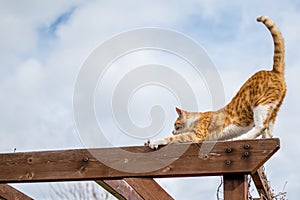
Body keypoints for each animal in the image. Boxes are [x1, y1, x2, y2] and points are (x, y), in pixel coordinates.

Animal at [146, 15, 288, 149]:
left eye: (176, 124)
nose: (172, 130)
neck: (196, 118)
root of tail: (274, 71)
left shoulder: (197, 135)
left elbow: (173, 138)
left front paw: (154, 142)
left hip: (261, 104)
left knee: (261, 126)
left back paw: (244, 138)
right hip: (273, 108)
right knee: (269, 131)